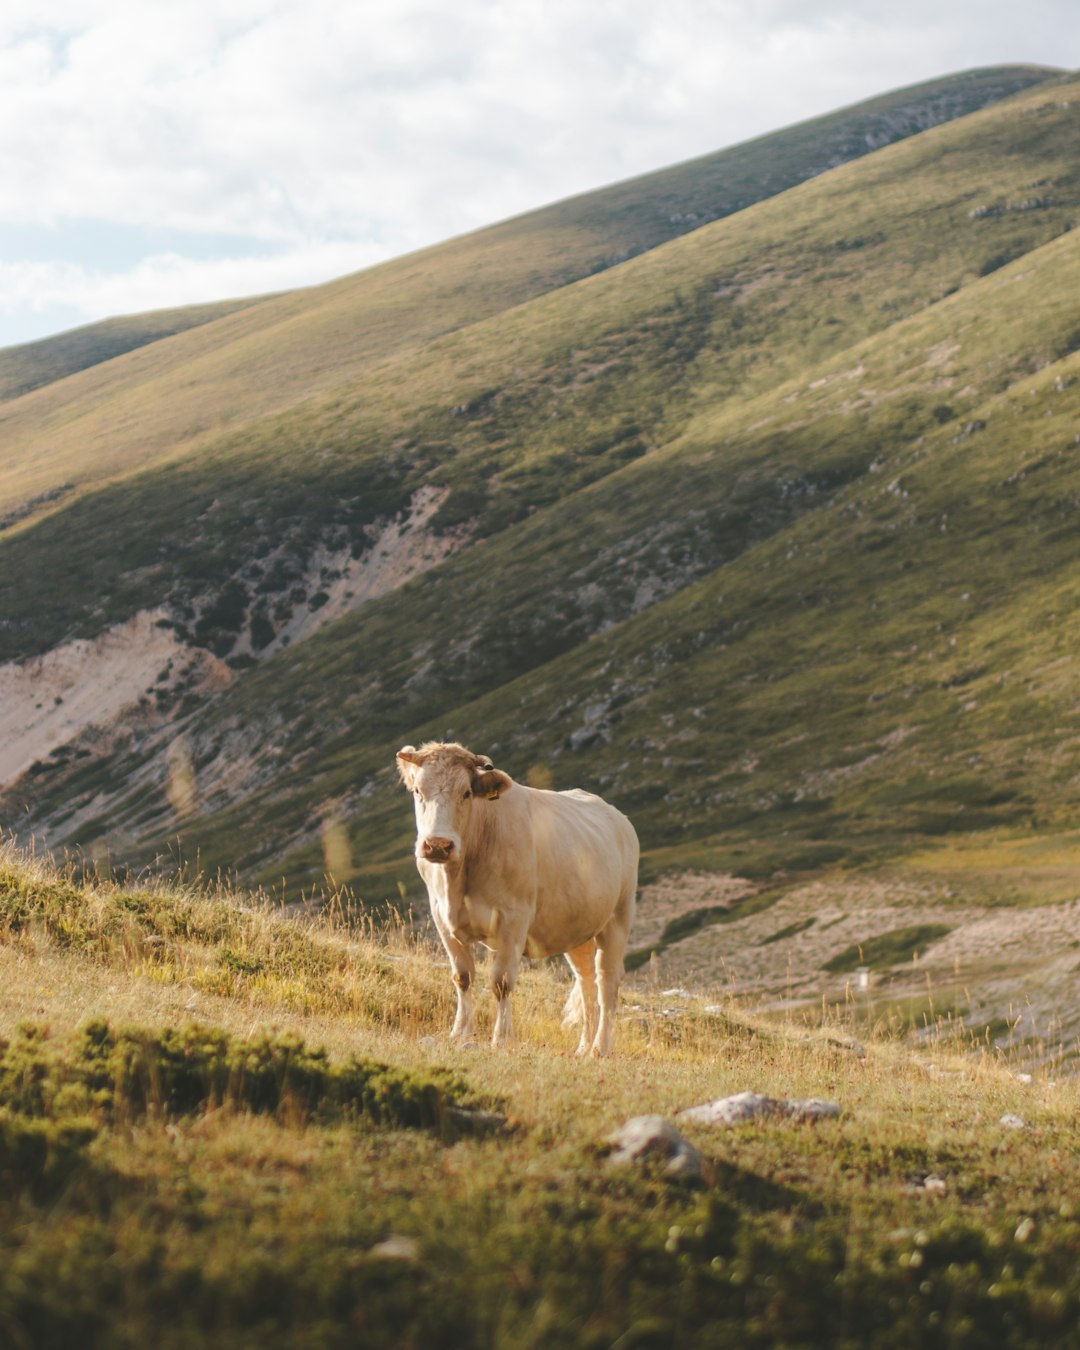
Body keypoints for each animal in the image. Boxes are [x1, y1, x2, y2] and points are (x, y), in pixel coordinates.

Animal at [399, 745, 642, 1058]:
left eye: (466, 792)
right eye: (418, 790)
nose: (438, 845)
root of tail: (620, 819)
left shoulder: (513, 918)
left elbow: (501, 981)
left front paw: (502, 1038)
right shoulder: (442, 918)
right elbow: (463, 976)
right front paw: (460, 1032)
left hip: (617, 918)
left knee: (607, 982)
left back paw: (600, 1048)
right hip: (578, 930)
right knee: (586, 981)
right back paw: (582, 1048)